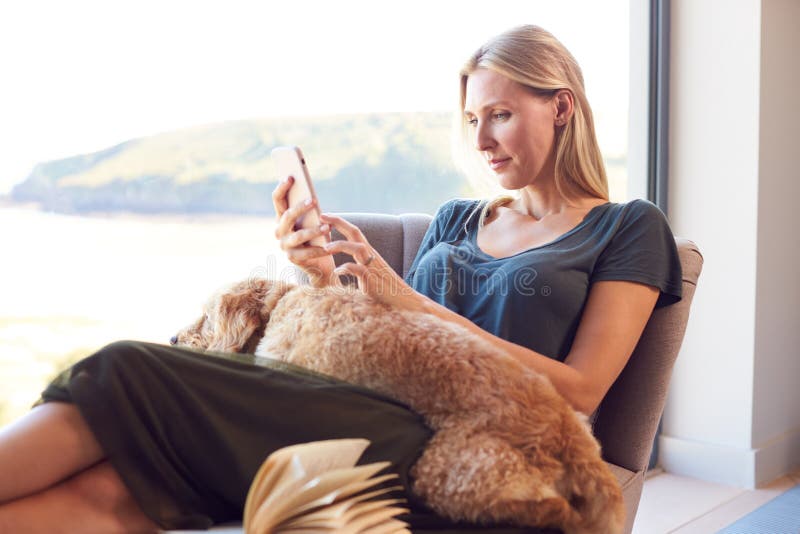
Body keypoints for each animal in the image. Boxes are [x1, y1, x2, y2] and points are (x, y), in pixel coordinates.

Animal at [173, 280, 624, 534]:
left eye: (206, 316)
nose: (174, 338)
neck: (284, 304)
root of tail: (565, 430)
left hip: (451, 471)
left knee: (551, 509)